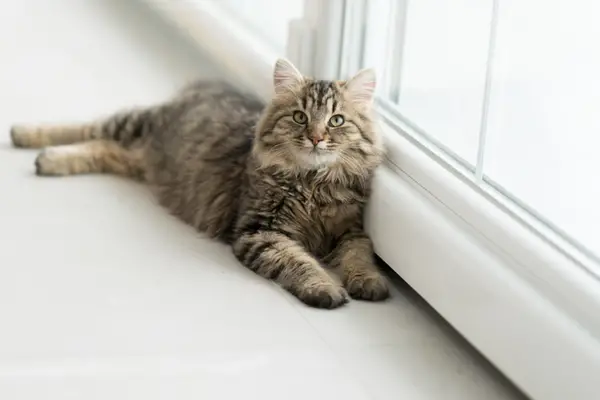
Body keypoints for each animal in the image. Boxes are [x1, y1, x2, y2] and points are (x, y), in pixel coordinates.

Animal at [11, 58, 392, 310]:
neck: (312, 183)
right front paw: (324, 288)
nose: (315, 138)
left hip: (133, 157)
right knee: (89, 126)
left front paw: (369, 283)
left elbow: (360, 256)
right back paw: (31, 140)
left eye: (336, 120)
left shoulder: (351, 230)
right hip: (134, 123)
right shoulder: (261, 232)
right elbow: (300, 263)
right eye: (300, 117)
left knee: (102, 148)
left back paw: (51, 159)